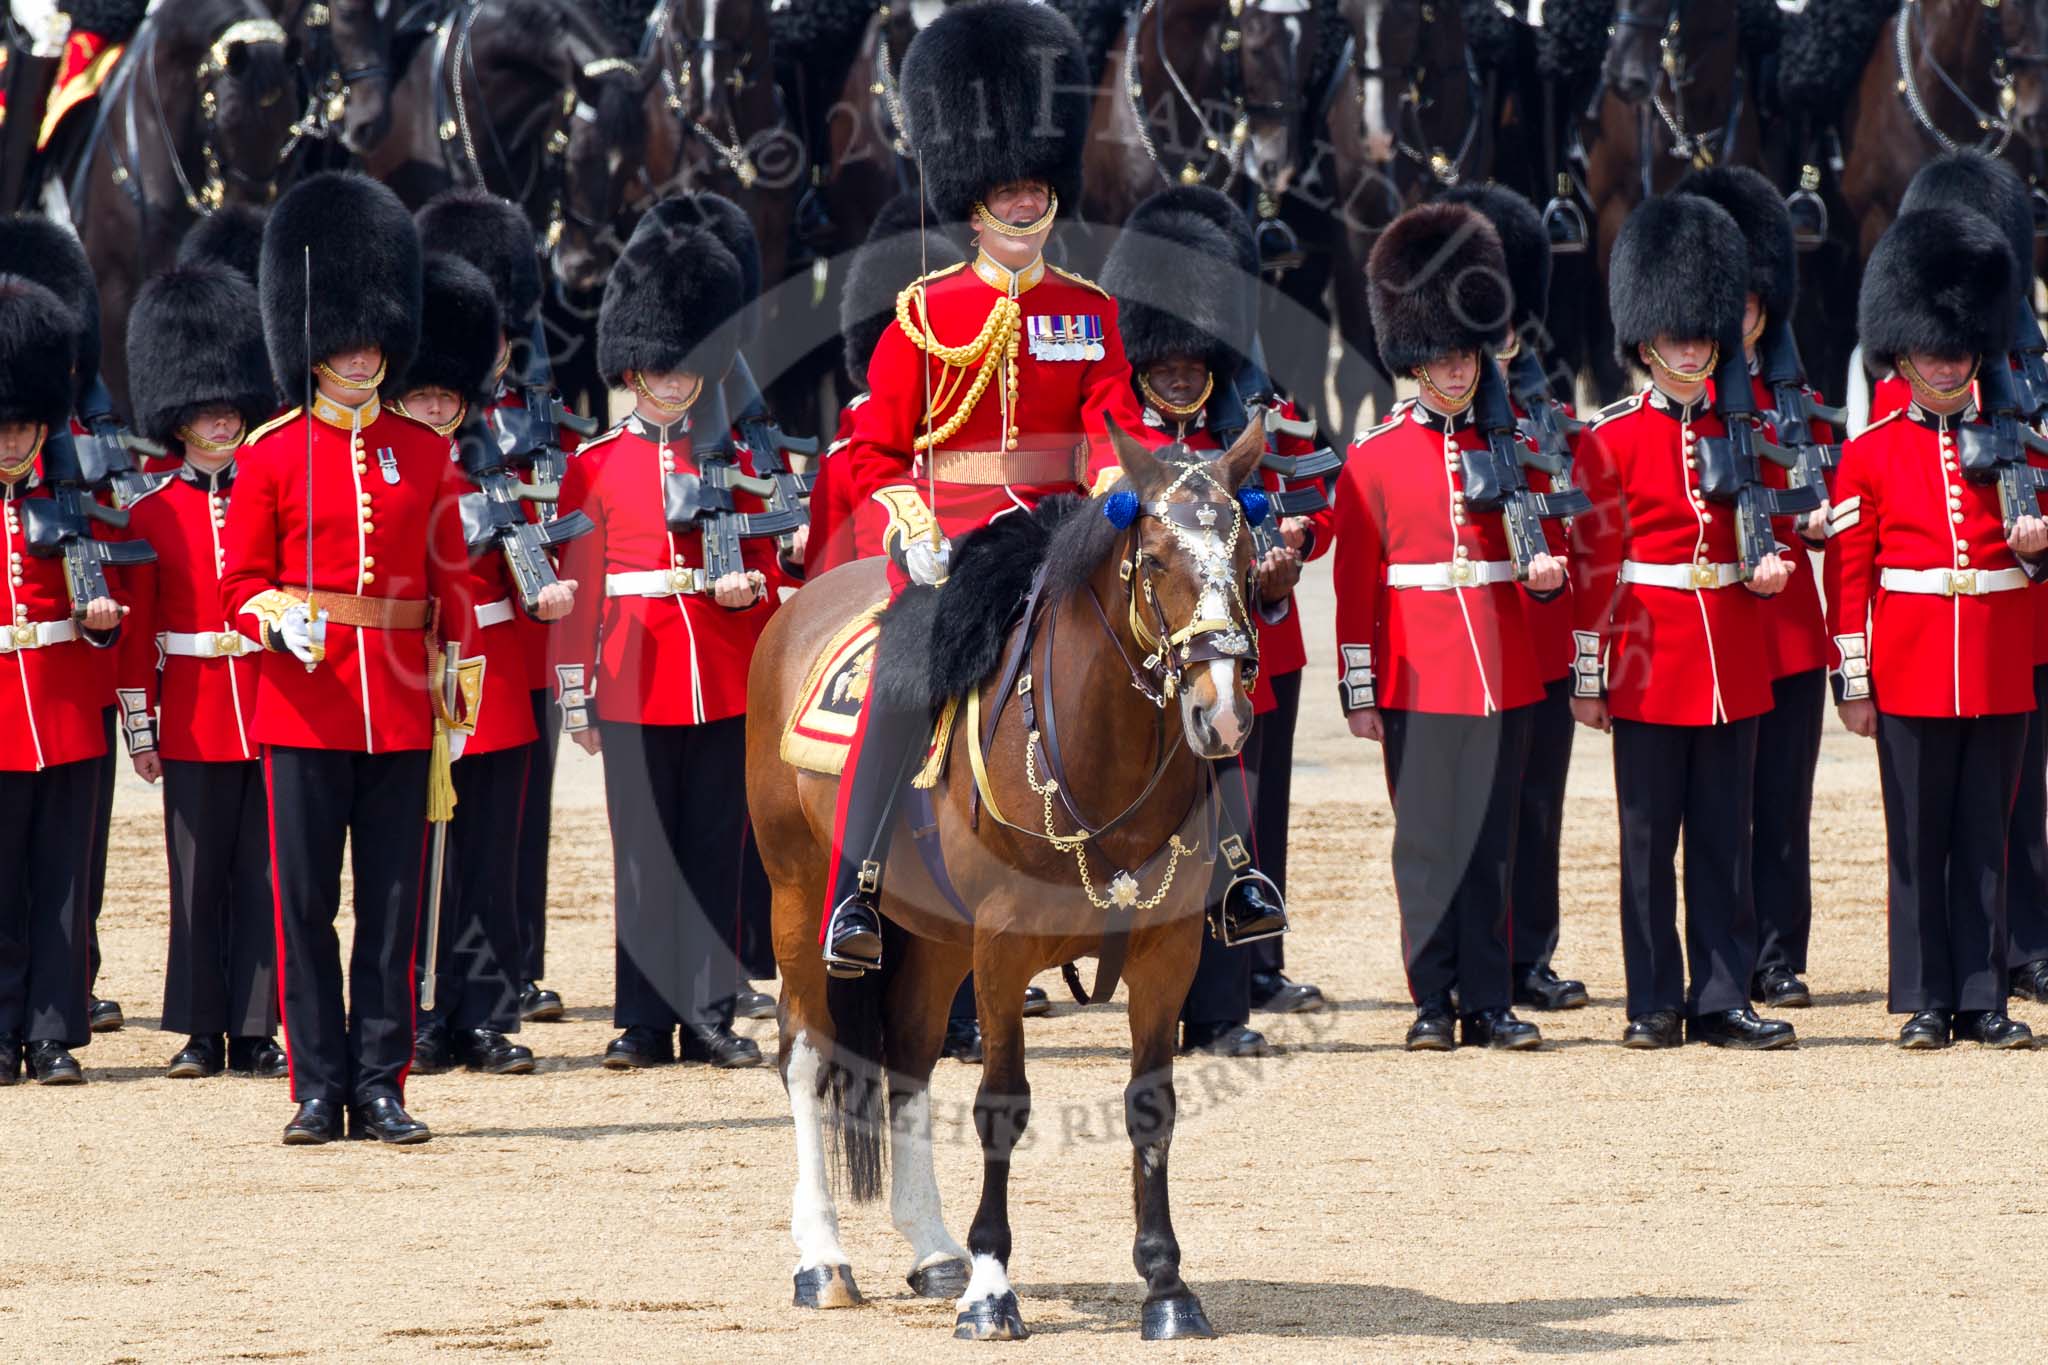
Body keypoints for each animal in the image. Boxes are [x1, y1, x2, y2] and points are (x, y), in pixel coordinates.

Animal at [745, 419, 1269, 1342]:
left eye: (1247, 561)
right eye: (1155, 560)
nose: (1223, 713)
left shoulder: (1166, 951)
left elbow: (1152, 1106)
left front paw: (1167, 1287)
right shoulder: (1002, 949)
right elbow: (1002, 1103)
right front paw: (993, 1289)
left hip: (930, 939)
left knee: (908, 1059)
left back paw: (931, 1247)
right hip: (798, 893)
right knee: (806, 1053)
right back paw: (823, 1258)